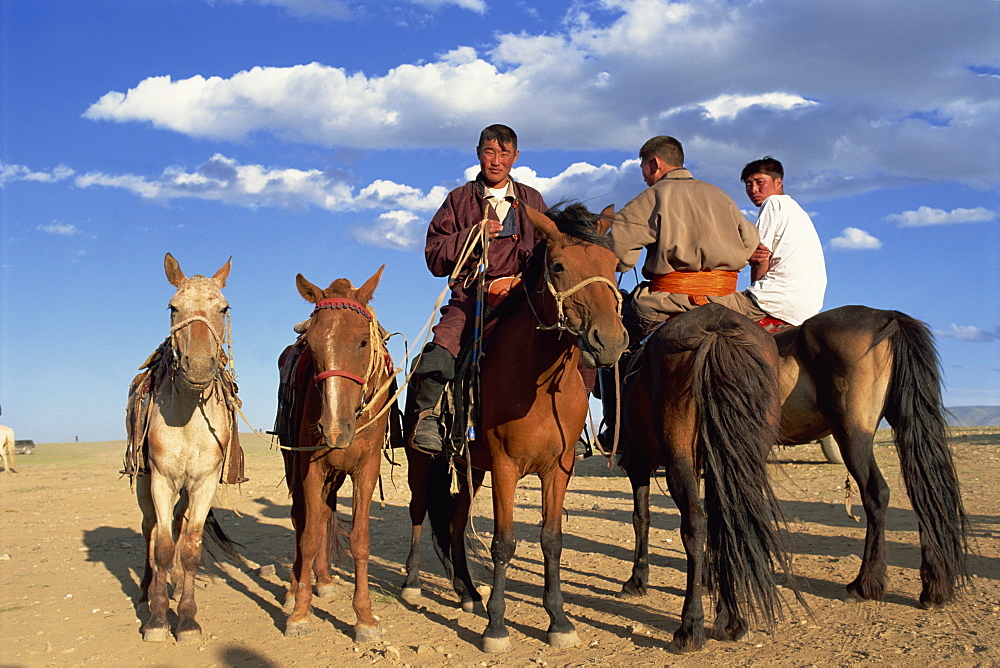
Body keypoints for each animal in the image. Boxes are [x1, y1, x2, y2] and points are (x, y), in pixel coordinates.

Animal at [126, 252, 241, 640]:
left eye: (223, 308)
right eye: (173, 307)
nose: (201, 366)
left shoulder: (203, 484)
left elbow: (189, 547)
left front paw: (188, 619)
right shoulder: (162, 480)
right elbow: (161, 546)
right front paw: (158, 619)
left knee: (177, 525)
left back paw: (174, 585)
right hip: (145, 482)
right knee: (150, 529)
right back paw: (149, 590)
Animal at [278, 268, 402, 640]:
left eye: (363, 341)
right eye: (312, 344)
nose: (333, 429)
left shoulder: (366, 469)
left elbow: (359, 540)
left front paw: (365, 618)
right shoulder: (310, 468)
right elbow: (307, 536)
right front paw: (300, 613)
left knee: (324, 515)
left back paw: (325, 580)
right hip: (294, 467)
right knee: (303, 519)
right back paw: (295, 589)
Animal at [398, 204, 624, 652]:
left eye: (613, 266)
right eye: (559, 266)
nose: (608, 341)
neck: (537, 382)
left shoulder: (559, 469)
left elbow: (551, 540)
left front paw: (558, 620)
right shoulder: (505, 466)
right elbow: (504, 543)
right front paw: (497, 626)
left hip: (469, 467)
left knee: (454, 519)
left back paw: (468, 591)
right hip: (423, 460)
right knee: (418, 510)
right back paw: (413, 583)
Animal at [620, 306, 972, 620]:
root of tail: (889, 317)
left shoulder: (638, 461)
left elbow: (642, 517)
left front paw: (637, 580)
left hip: (852, 434)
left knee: (877, 493)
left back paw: (865, 584)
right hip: (902, 423)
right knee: (924, 489)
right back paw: (933, 588)